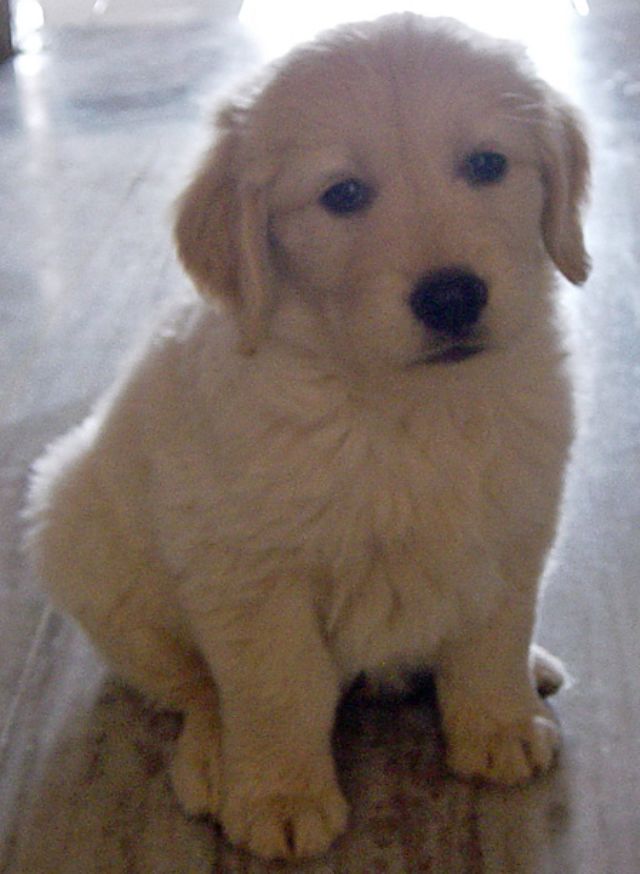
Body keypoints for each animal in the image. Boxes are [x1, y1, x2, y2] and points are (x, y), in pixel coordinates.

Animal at [23, 11, 592, 860]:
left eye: (488, 164)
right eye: (343, 195)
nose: (453, 296)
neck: (399, 406)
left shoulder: (515, 522)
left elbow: (494, 632)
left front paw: (499, 721)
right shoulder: (252, 571)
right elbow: (276, 687)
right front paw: (280, 795)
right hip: (83, 539)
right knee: (190, 683)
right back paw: (215, 757)